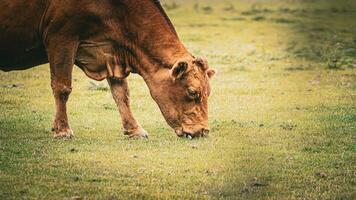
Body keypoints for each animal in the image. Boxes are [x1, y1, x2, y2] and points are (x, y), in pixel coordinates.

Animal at [0, 0, 216, 139]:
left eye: (208, 93)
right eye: (192, 92)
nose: (203, 130)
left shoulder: (111, 53)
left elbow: (122, 94)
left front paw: (134, 129)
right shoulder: (61, 37)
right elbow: (62, 88)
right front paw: (62, 130)